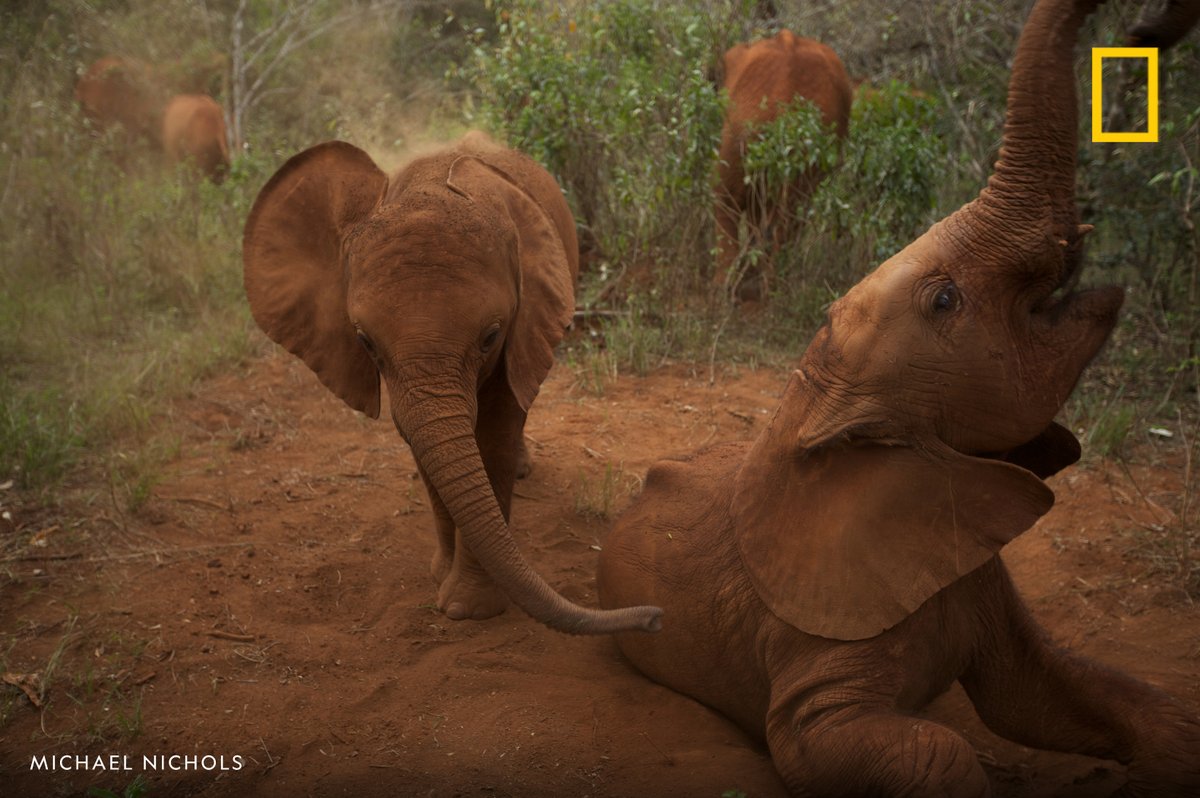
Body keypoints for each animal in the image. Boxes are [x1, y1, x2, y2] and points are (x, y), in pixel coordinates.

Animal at [240, 133, 662, 638]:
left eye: (491, 337)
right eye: (365, 342)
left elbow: (494, 438)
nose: (656, 617)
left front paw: (468, 609)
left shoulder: (523, 321)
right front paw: (441, 578)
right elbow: (424, 446)